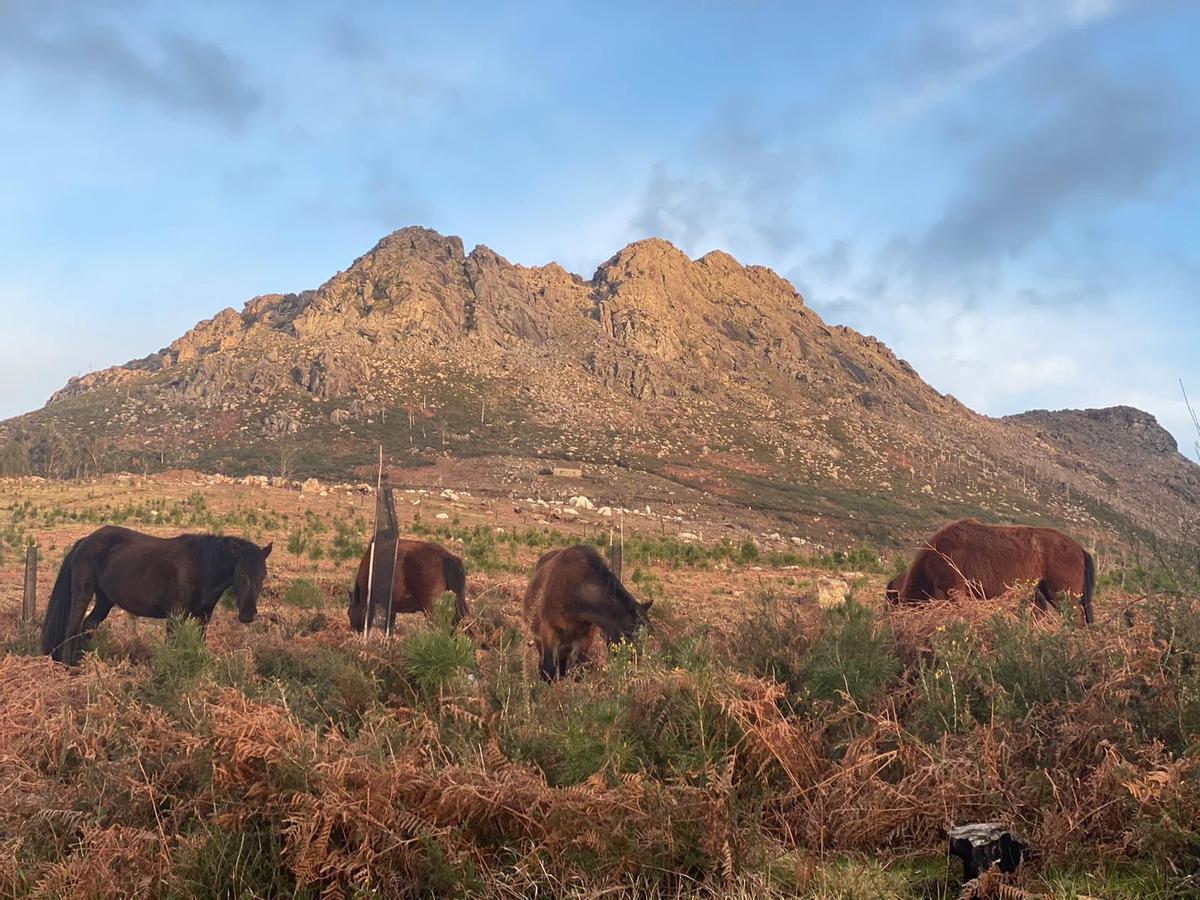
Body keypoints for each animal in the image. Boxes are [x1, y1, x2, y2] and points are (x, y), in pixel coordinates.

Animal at [41, 525, 272, 664]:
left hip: (105, 600)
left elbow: (199, 642)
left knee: (88, 625)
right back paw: (68, 665)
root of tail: (86, 540)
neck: (200, 566)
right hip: (83, 592)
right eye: (240, 573)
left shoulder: (203, 617)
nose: (248, 615)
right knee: (72, 627)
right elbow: (172, 644)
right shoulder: (175, 615)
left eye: (263, 574)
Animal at [523, 544, 651, 681]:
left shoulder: (586, 638)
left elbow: (578, 669)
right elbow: (549, 669)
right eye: (627, 633)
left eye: (647, 635)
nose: (632, 667)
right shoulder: (548, 633)